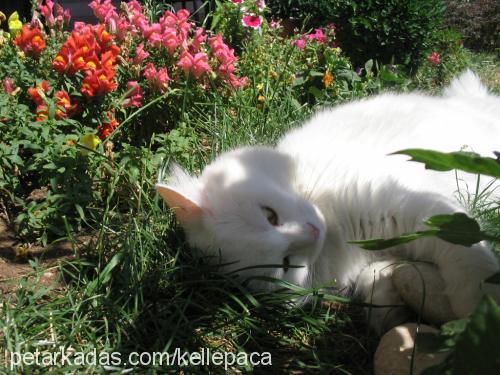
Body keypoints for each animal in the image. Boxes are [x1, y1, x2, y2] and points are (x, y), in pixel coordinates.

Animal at [156, 71, 500, 334]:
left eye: (270, 215)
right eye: (285, 265)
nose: (312, 232)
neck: (341, 230)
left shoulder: (419, 205)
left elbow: (471, 260)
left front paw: (478, 322)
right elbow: (377, 278)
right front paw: (392, 315)